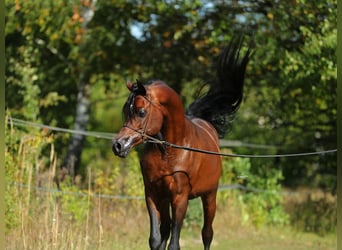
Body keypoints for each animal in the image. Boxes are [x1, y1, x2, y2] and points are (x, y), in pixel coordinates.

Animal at [113, 37, 251, 250]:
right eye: (126, 111)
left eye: (141, 112)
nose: (118, 145)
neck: (169, 152)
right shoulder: (153, 194)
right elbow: (156, 239)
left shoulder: (180, 198)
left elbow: (174, 243)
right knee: (166, 230)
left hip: (210, 196)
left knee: (207, 234)